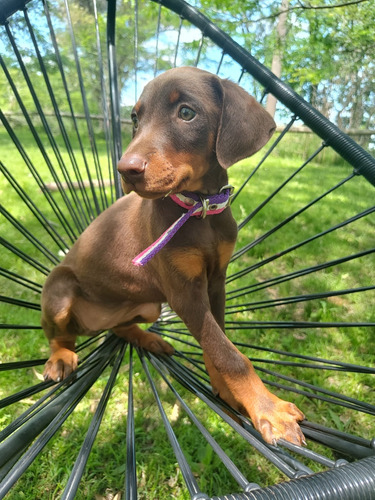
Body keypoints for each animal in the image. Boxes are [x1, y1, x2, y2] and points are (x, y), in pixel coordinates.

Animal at [41, 66, 306, 446]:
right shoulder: (184, 291)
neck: (200, 208)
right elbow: (228, 353)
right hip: (59, 286)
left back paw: (148, 338)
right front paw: (270, 409)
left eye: (186, 113)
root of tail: (92, 323)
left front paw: (229, 392)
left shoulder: (215, 282)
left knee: (119, 327)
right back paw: (61, 357)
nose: (125, 169)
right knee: (57, 332)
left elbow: (217, 341)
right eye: (135, 118)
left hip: (146, 304)